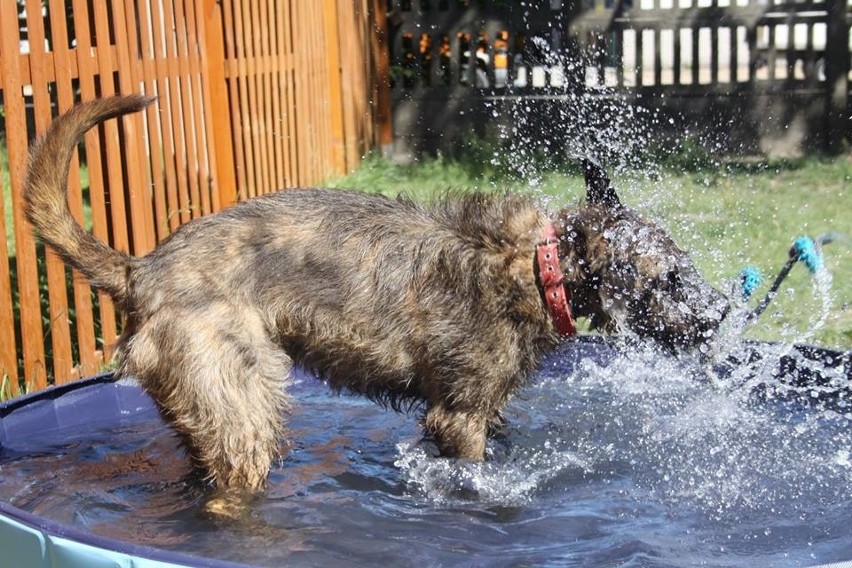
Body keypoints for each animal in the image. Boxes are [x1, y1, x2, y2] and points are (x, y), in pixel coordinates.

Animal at [23, 95, 728, 494]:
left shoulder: (485, 412)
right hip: (239, 403)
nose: (720, 313)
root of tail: (143, 269)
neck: (537, 266)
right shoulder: (458, 418)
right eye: (668, 278)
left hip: (201, 411)